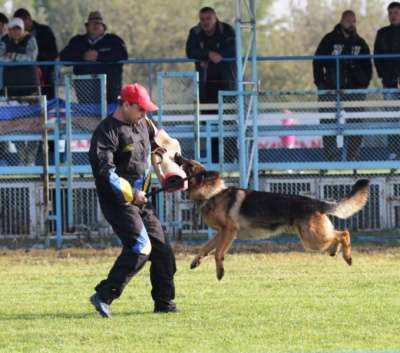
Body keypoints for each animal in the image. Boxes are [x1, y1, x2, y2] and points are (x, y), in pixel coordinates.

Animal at [176, 155, 372, 280]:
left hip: (312, 239)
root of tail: (317, 203)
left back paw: (347, 256)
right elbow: (205, 248)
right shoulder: (220, 233)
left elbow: (217, 253)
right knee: (336, 235)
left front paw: (220, 272)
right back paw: (335, 251)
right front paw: (196, 261)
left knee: (344, 233)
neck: (212, 193)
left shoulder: (229, 231)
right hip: (313, 239)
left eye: (189, 165)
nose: (177, 154)